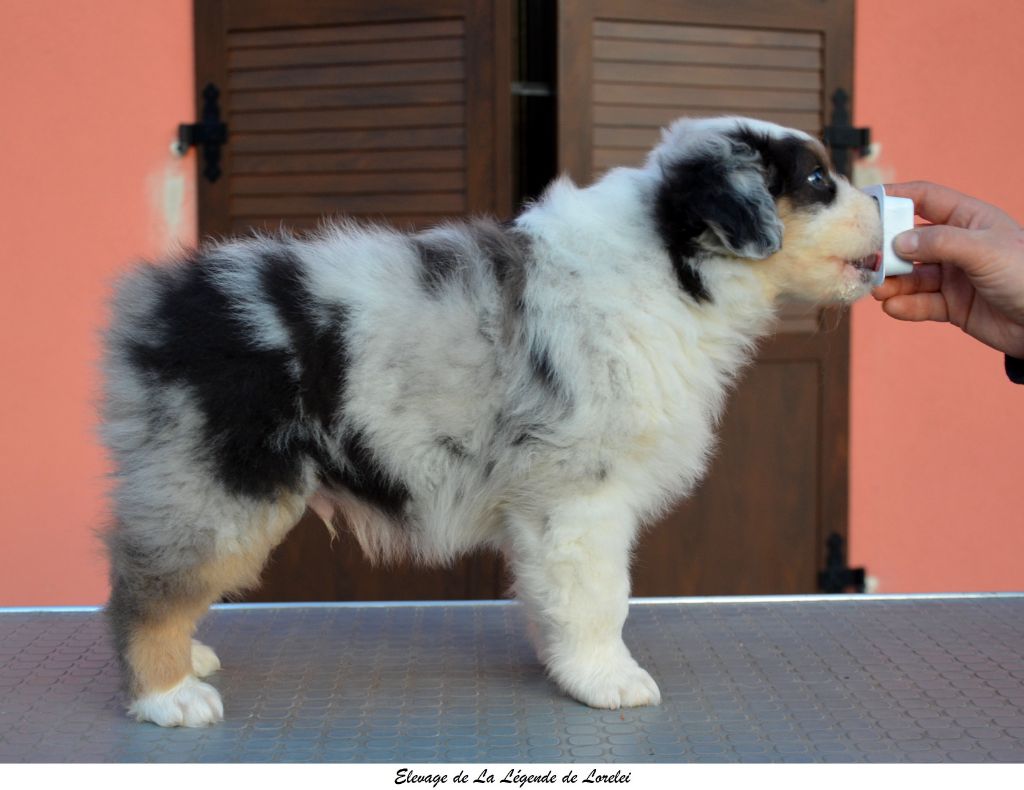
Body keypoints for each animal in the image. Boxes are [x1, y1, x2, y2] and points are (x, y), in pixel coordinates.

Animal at [101, 116, 883, 726]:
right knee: (146, 587)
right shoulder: (583, 493)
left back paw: (191, 657)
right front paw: (609, 678)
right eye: (818, 179)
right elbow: (601, 597)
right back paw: (170, 692)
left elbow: (554, 595)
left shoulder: (548, 506)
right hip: (221, 482)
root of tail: (158, 304)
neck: (671, 267)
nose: (883, 196)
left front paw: (566, 665)